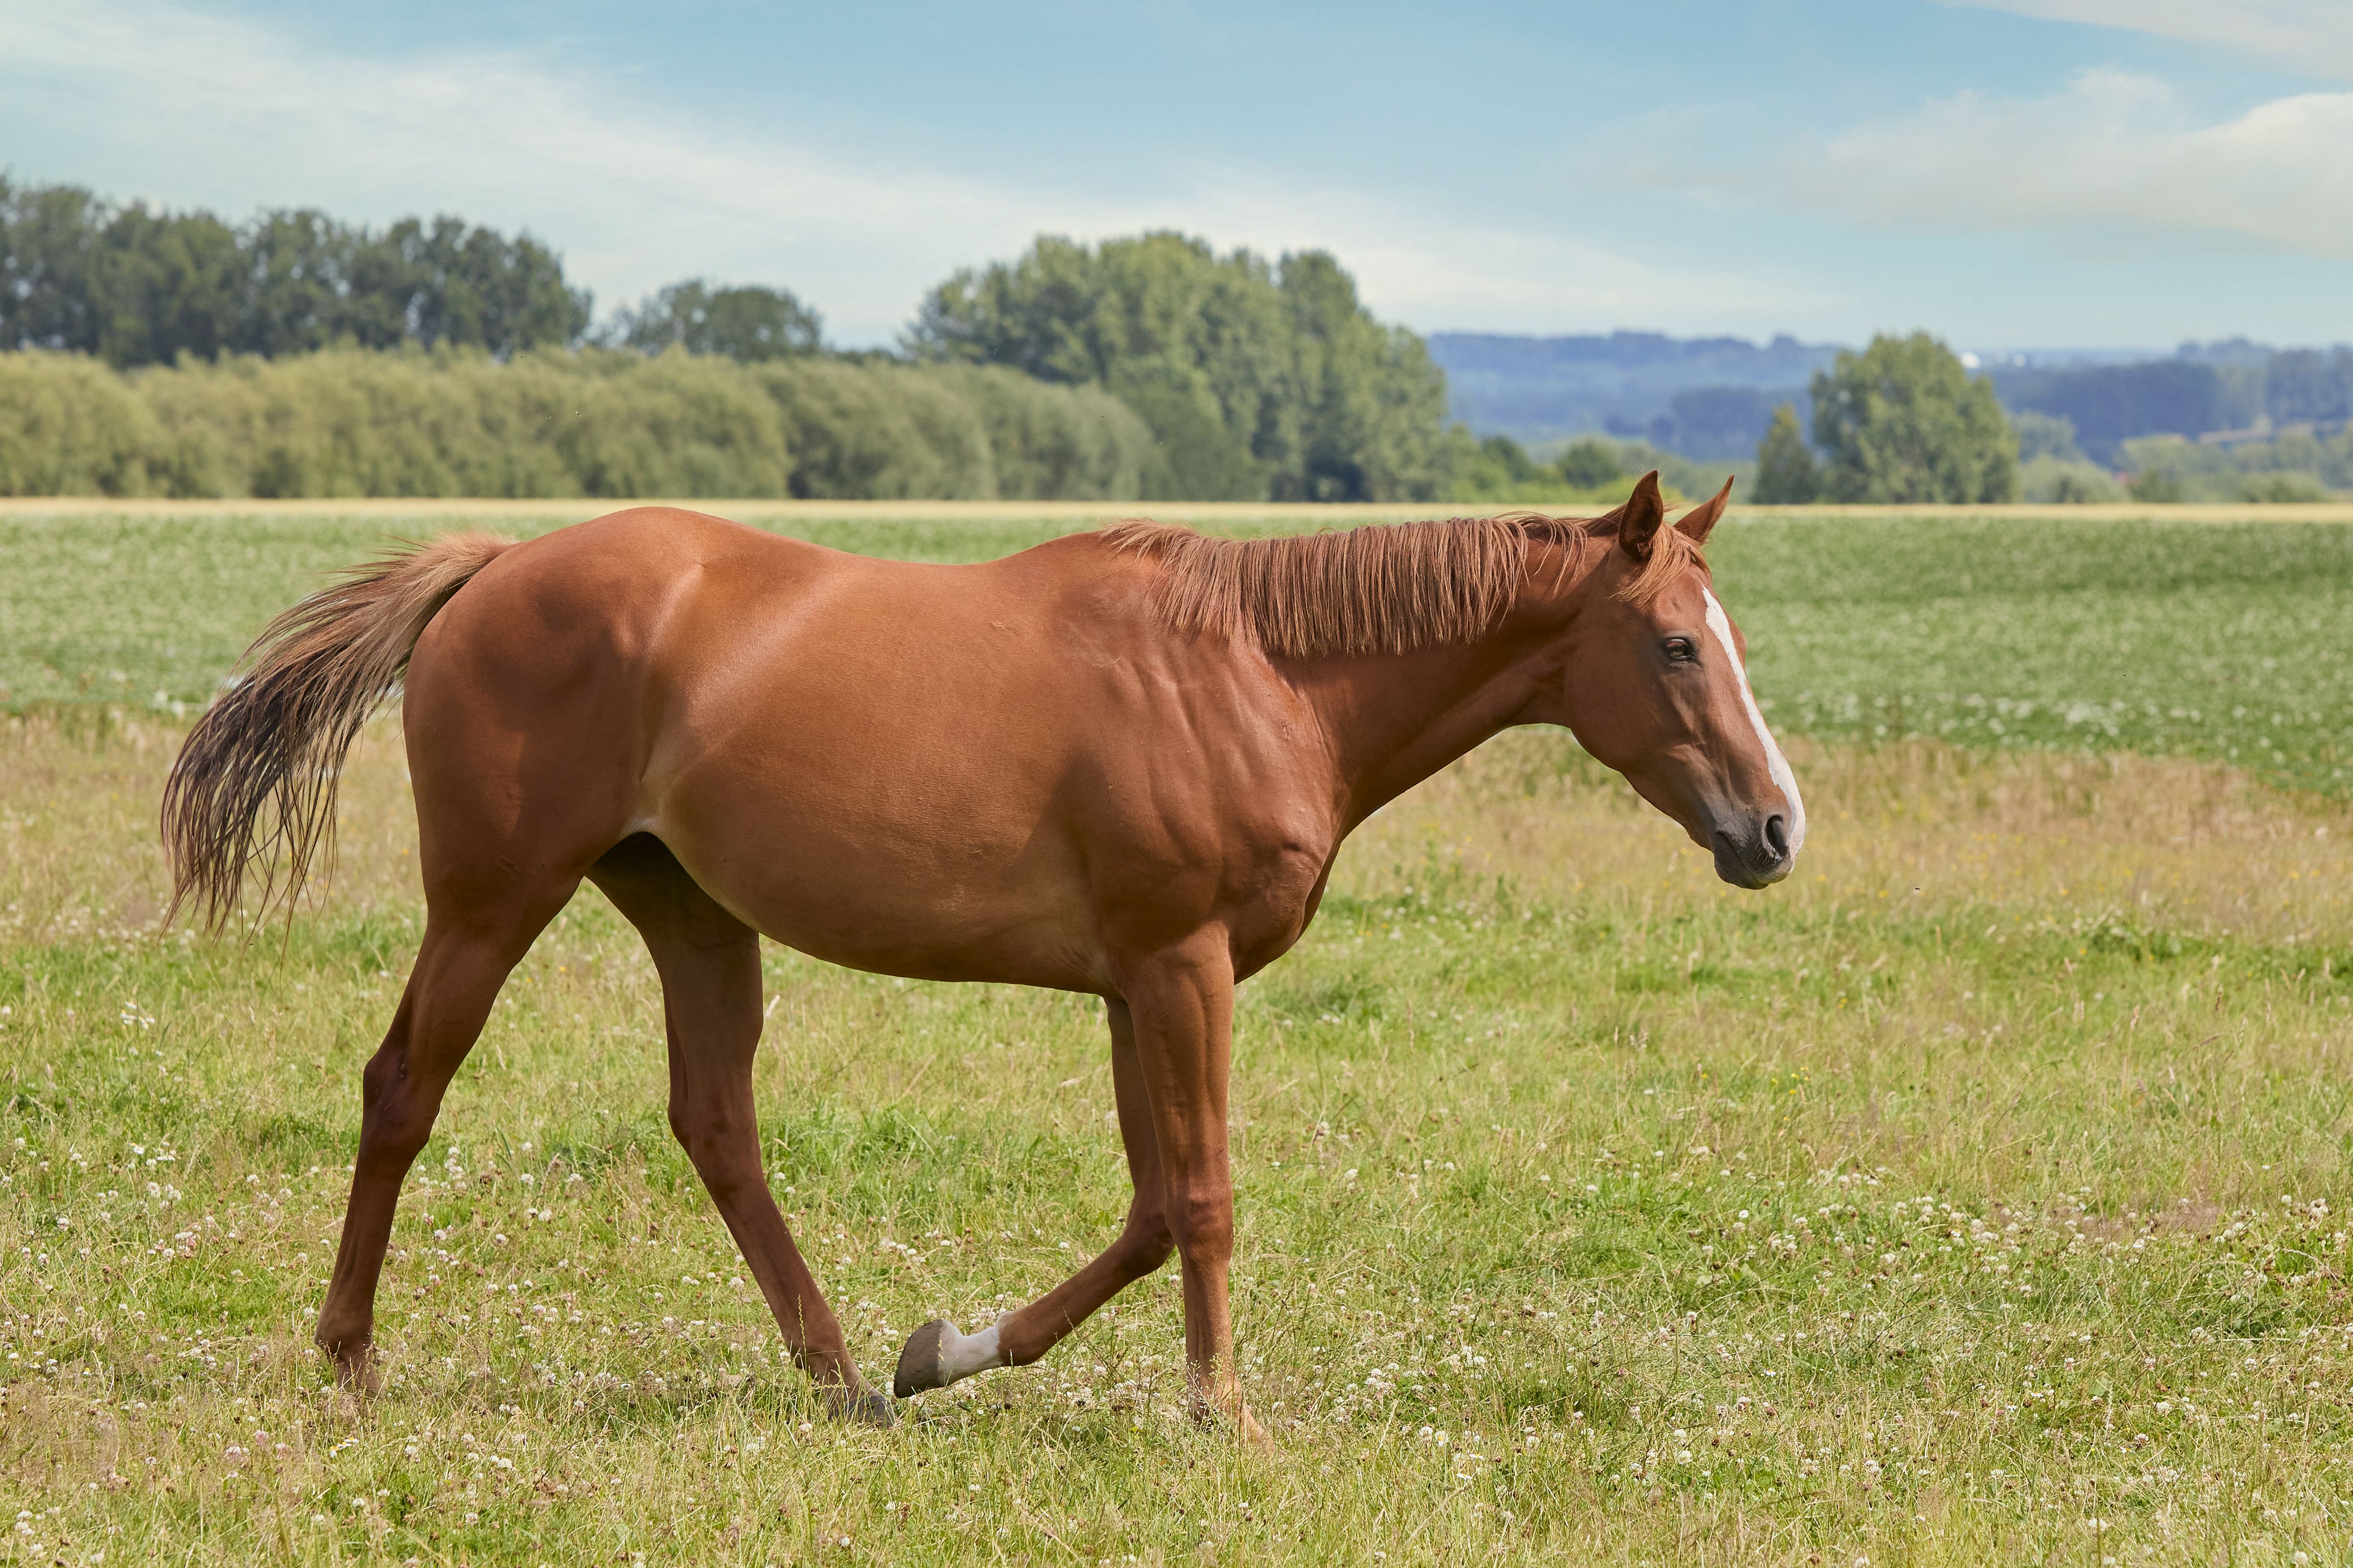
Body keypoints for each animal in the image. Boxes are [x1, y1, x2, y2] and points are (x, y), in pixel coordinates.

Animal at [161, 470, 1803, 1438]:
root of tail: (493, 565)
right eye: (1675, 642)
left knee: (715, 1121)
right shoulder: (1180, 967)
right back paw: (351, 1357)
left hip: (691, 912)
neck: (1258, 672)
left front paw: (940, 1346)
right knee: (402, 1088)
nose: (1775, 826)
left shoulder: (1135, 981)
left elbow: (1147, 1209)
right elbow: (1202, 1198)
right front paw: (1218, 1411)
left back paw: (839, 1375)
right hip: (493, 899)